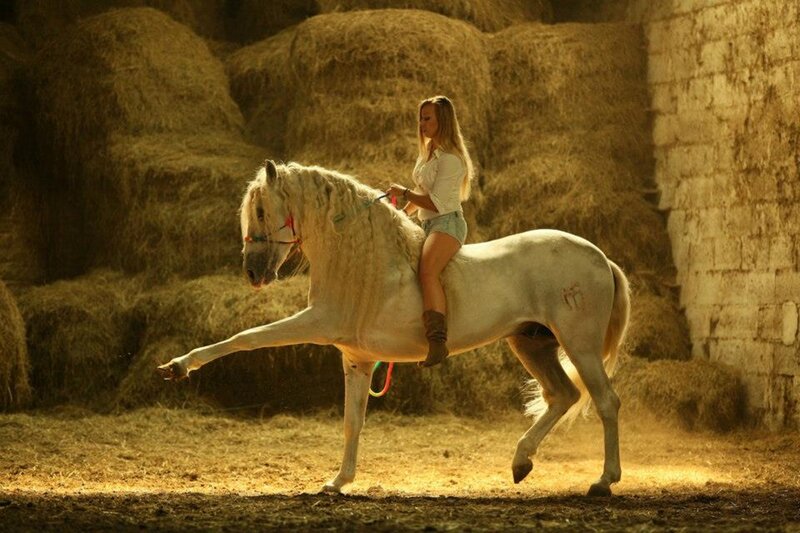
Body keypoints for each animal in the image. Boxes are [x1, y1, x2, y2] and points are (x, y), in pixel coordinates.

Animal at [157, 160, 631, 497]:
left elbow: (245, 338)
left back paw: (603, 481)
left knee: (605, 401)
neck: (361, 262)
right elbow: (353, 422)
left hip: (579, 344)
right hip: (532, 344)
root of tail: (599, 257)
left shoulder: (316, 322)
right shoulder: (356, 359)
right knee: (563, 395)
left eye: (259, 209)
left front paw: (179, 366)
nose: (253, 273)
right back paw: (521, 462)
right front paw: (337, 483)